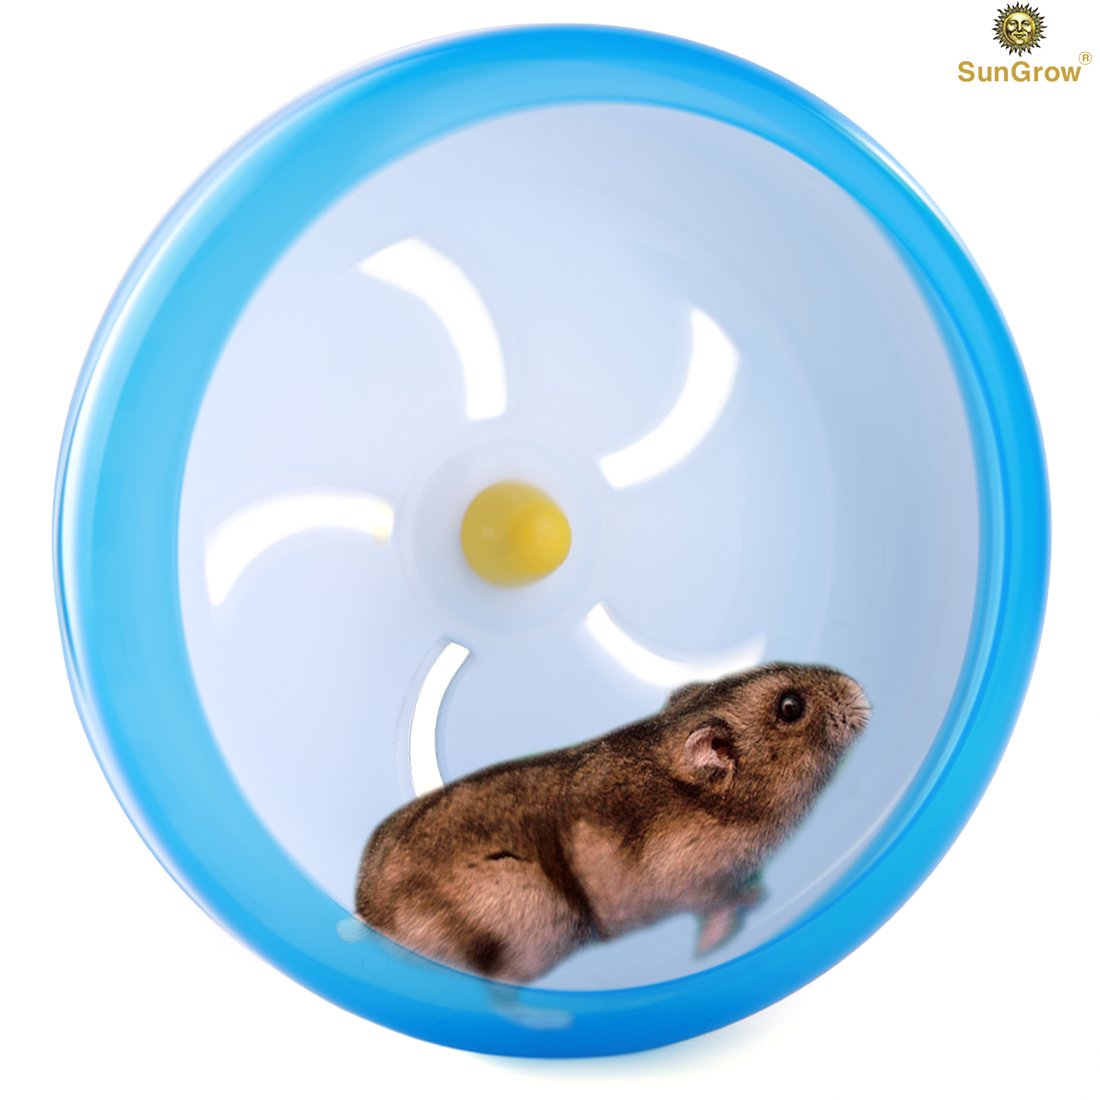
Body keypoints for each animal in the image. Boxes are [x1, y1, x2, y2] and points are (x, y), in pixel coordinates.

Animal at [355, 662, 870, 984]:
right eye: (790, 707)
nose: (859, 691)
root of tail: (367, 915)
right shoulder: (694, 877)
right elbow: (717, 905)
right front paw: (716, 943)